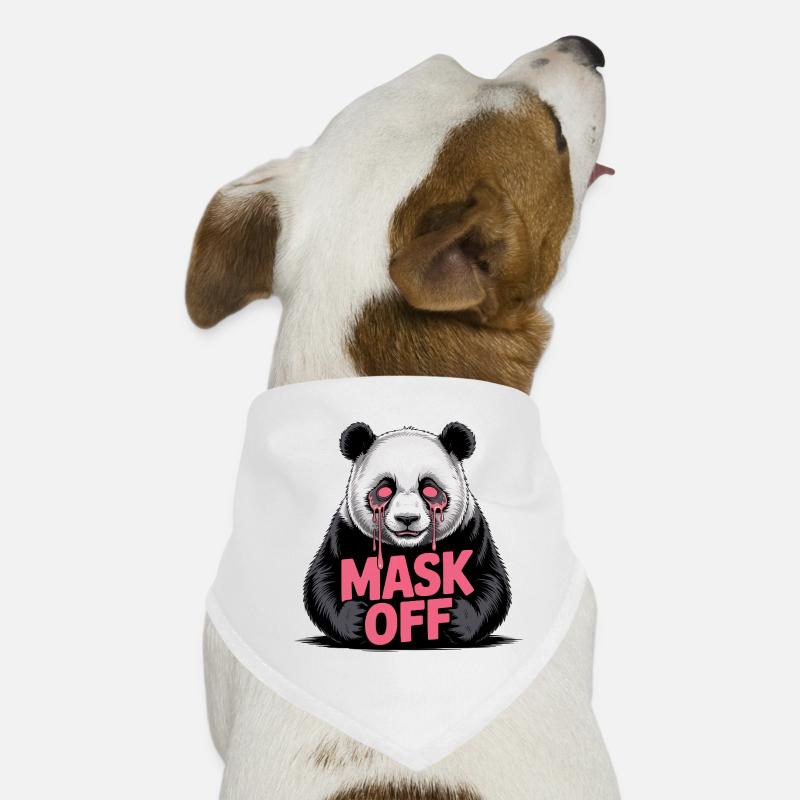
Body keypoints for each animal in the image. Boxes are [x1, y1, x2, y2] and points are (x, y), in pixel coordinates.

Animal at [303, 421, 511, 648]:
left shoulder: (470, 531)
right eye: (384, 490)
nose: (407, 518)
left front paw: (452, 614)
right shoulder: (346, 533)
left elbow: (490, 582)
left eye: (430, 489)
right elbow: (325, 580)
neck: (407, 550)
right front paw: (357, 617)